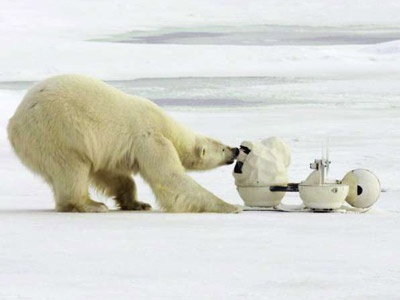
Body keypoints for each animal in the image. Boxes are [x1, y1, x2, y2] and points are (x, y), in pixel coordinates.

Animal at [7, 75, 241, 213]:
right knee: (71, 168)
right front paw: (231, 206)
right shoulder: (150, 139)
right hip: (57, 134)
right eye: (222, 148)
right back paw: (91, 205)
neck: (166, 126)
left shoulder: (109, 150)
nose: (236, 149)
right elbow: (170, 178)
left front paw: (137, 203)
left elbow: (109, 173)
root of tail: (14, 123)